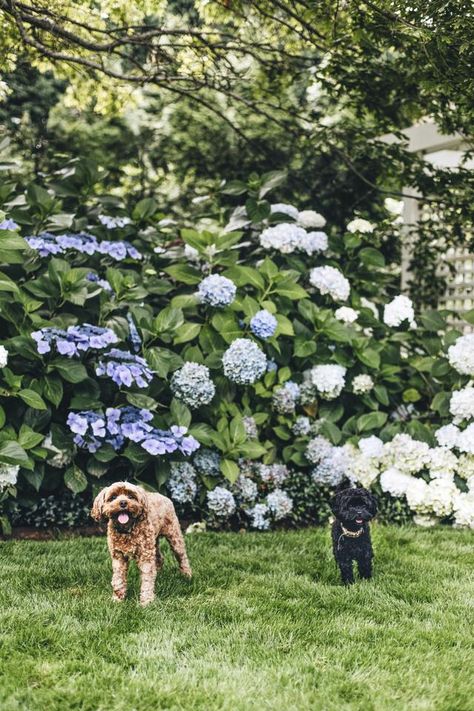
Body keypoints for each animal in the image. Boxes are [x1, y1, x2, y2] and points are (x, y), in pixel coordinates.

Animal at [90, 478, 191, 608]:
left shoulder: (145, 556)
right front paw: (117, 599)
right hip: (153, 542)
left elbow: (147, 579)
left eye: (130, 496)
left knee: (182, 556)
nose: (123, 503)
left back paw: (187, 575)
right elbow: (118, 578)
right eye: (113, 497)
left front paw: (146, 602)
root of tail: (161, 495)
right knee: (159, 558)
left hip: (174, 535)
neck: (127, 530)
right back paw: (159, 574)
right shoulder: (118, 556)